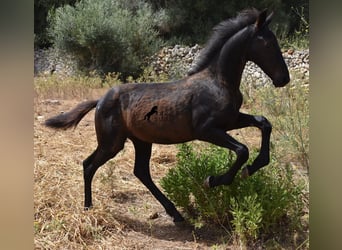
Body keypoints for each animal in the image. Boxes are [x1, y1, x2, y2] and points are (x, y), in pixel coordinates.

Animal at [44, 8, 288, 223]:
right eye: (268, 43)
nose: (284, 79)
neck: (217, 81)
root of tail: (100, 100)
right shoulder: (206, 130)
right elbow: (242, 150)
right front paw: (213, 180)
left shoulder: (230, 121)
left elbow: (264, 123)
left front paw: (253, 167)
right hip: (112, 143)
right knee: (89, 165)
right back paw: (88, 208)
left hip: (141, 141)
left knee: (140, 172)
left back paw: (176, 214)